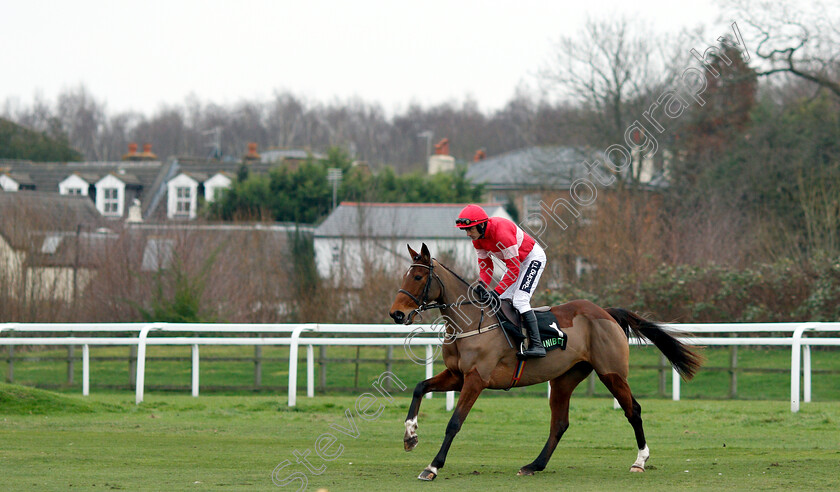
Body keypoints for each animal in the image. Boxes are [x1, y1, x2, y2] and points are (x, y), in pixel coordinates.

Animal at [388, 244, 704, 482]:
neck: (471, 323)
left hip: (611, 372)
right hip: (565, 378)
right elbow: (419, 387)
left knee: (633, 410)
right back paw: (534, 465)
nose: (396, 314)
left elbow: (454, 422)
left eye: (418, 277)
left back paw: (640, 460)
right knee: (560, 423)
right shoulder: (457, 375)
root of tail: (606, 312)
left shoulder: (476, 380)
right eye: (405, 275)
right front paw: (410, 436)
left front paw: (432, 466)